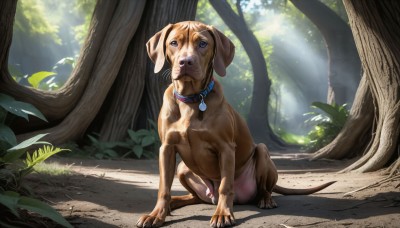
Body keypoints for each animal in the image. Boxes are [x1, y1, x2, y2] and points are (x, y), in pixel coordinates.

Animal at [136, 20, 332, 226]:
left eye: (203, 44)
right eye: (174, 43)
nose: (186, 62)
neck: (191, 99)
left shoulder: (226, 148)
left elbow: (225, 185)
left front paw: (222, 214)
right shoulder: (166, 148)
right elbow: (163, 188)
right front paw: (156, 214)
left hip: (262, 151)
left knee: (263, 188)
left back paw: (265, 200)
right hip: (183, 168)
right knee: (194, 197)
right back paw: (173, 203)